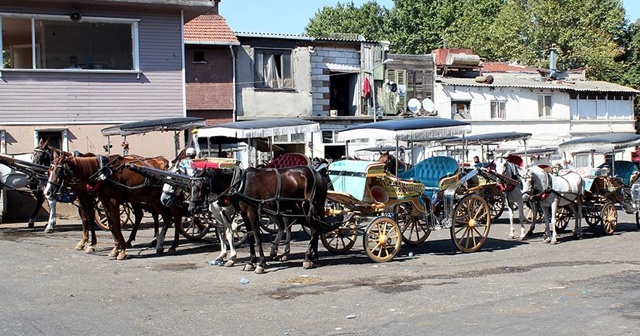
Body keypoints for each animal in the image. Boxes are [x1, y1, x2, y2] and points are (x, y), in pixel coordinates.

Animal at [45, 154, 179, 258]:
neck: (102, 173)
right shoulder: (102, 200)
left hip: (161, 199)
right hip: (150, 199)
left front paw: (121, 250)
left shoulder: (111, 200)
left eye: (59, 171)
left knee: (171, 217)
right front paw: (115, 248)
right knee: (162, 217)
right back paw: (158, 243)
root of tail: (164, 161)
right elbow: (109, 223)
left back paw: (167, 244)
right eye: (49, 170)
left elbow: (115, 224)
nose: (47, 192)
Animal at [188, 167, 328, 274]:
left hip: (307, 209)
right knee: (309, 229)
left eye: (200, 185)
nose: (191, 208)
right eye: (191, 185)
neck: (240, 185)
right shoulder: (244, 214)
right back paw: (311, 256)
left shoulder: (252, 212)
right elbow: (249, 236)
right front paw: (250, 262)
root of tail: (318, 175)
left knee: (313, 230)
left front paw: (260, 264)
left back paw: (307, 258)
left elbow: (256, 236)